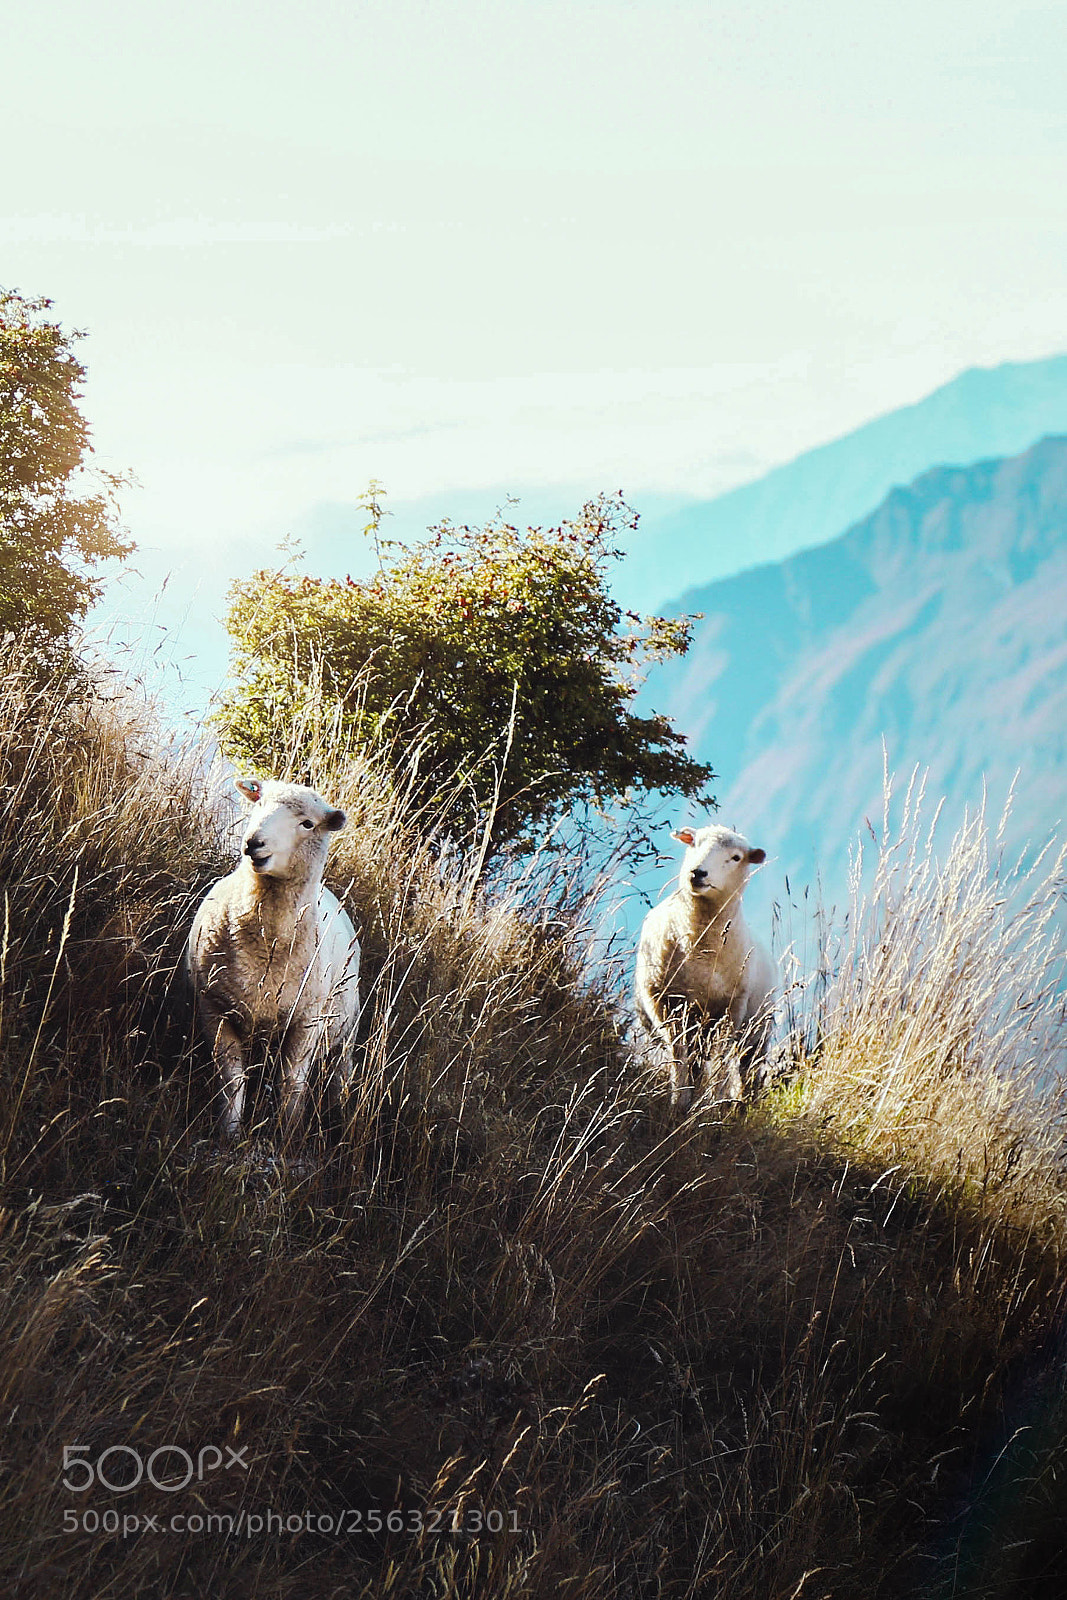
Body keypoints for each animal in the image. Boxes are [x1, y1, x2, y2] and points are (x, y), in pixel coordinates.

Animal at [186, 777, 361, 1146]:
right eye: (258, 804)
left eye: (307, 824)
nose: (254, 842)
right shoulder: (215, 1008)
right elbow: (232, 1080)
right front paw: (229, 1133)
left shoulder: (307, 1020)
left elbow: (291, 1081)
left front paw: (288, 1134)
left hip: (345, 1029)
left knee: (340, 1073)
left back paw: (340, 1117)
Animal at [635, 823, 775, 1111]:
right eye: (694, 844)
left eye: (736, 857)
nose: (698, 873)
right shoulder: (663, 1001)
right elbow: (678, 1055)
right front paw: (679, 1101)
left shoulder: (731, 1008)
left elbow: (721, 1059)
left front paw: (713, 1102)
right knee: (696, 1060)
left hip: (757, 1031)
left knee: (746, 1068)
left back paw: (742, 1103)